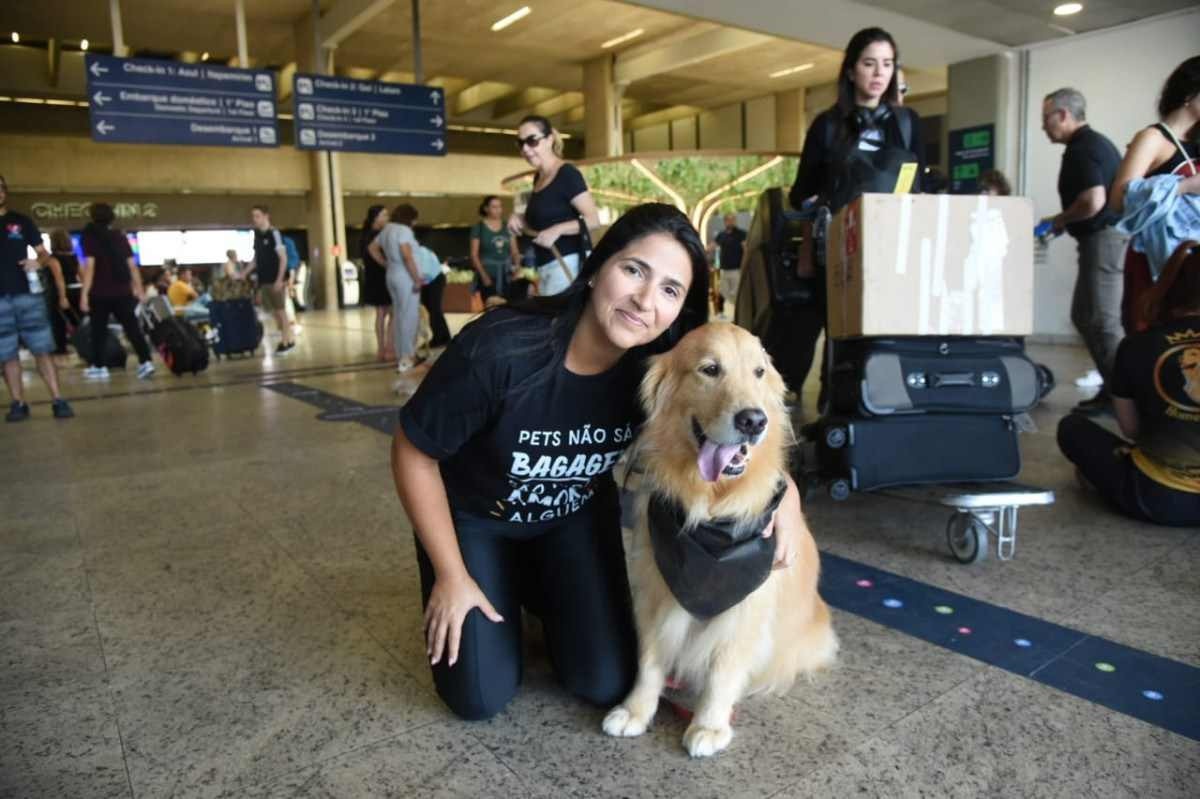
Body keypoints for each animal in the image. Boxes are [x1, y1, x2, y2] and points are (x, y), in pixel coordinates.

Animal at [604, 321, 840, 753]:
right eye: (710, 369)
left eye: (759, 372)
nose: (754, 420)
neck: (711, 506)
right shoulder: (655, 587)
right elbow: (650, 658)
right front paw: (635, 710)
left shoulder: (746, 603)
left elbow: (724, 666)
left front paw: (710, 725)